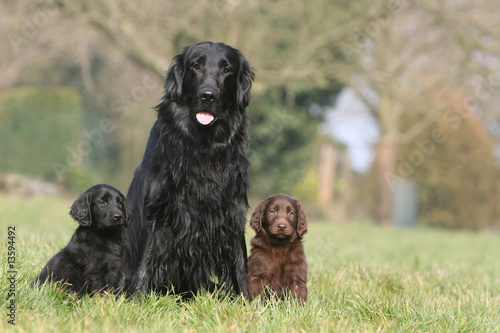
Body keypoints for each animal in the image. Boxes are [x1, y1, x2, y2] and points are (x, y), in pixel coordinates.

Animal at [126, 40, 254, 296]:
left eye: (227, 70)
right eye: (196, 66)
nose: (208, 96)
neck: (203, 146)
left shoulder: (232, 212)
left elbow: (239, 265)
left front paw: (245, 300)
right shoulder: (157, 211)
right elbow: (145, 262)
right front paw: (136, 299)